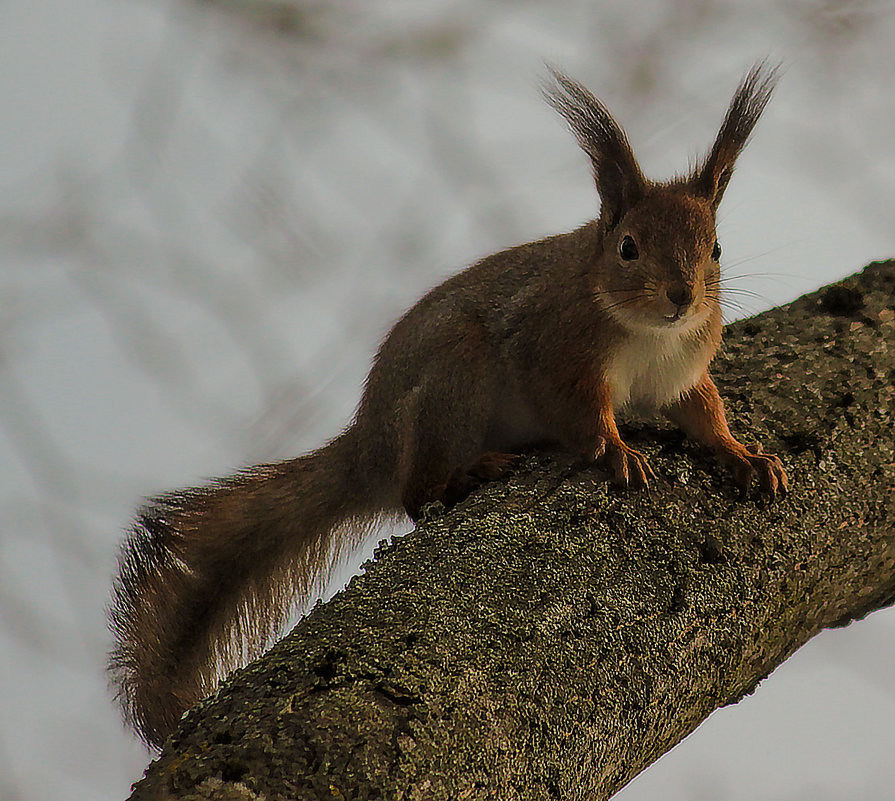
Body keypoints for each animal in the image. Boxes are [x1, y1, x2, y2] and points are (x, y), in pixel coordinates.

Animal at [108, 65, 788, 748]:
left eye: (717, 249)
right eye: (628, 247)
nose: (682, 295)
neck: (650, 333)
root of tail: (370, 448)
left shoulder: (682, 373)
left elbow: (704, 414)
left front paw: (743, 454)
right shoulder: (554, 352)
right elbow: (580, 415)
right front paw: (617, 449)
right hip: (456, 377)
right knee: (415, 493)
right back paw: (466, 473)